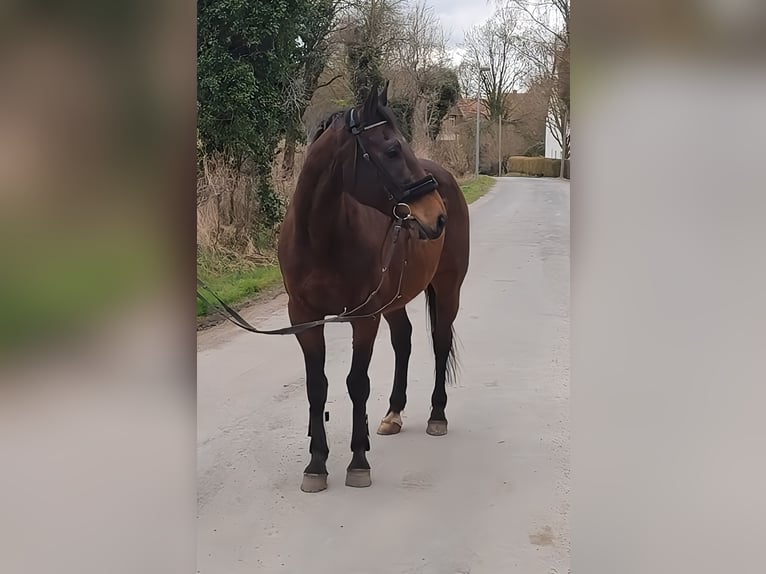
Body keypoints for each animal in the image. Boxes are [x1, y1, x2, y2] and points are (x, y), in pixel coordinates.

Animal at [276, 82, 468, 496]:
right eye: (392, 149)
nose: (436, 216)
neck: (321, 236)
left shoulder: (364, 317)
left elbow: (357, 383)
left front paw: (358, 461)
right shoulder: (304, 317)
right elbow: (317, 386)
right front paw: (316, 464)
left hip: (447, 290)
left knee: (440, 342)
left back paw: (437, 415)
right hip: (394, 300)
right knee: (404, 340)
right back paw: (394, 413)